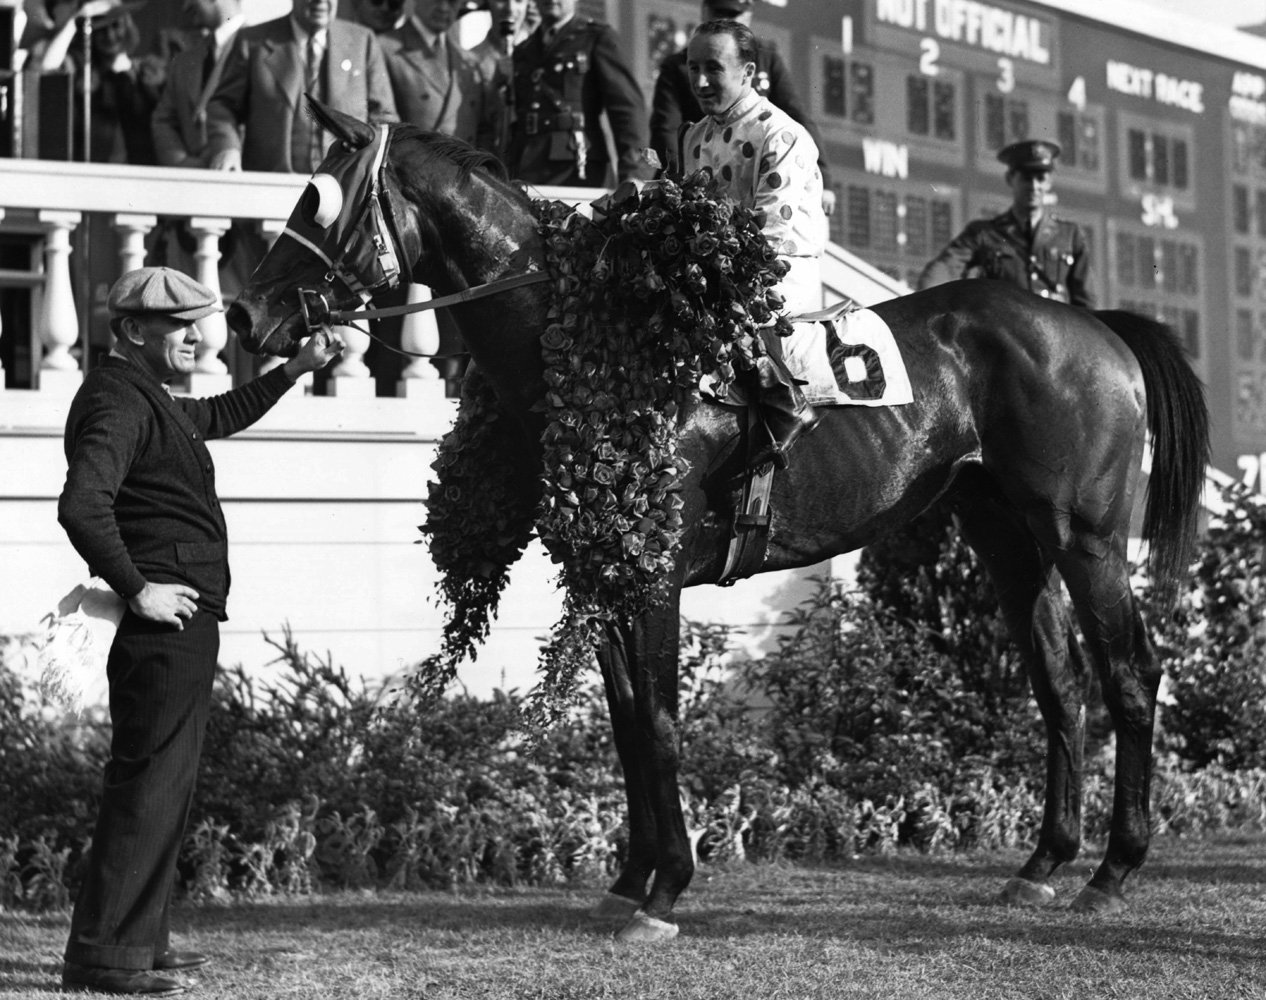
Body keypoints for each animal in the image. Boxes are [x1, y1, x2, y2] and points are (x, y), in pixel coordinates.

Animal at [225, 103, 1205, 946]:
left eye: (318, 200)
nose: (243, 312)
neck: (590, 347)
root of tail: (1093, 326)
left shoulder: (653, 573)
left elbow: (659, 720)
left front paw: (667, 891)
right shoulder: (603, 573)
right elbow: (626, 722)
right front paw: (629, 880)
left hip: (1086, 536)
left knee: (1131, 674)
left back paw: (1113, 870)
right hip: (1005, 535)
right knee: (1059, 684)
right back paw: (1042, 864)